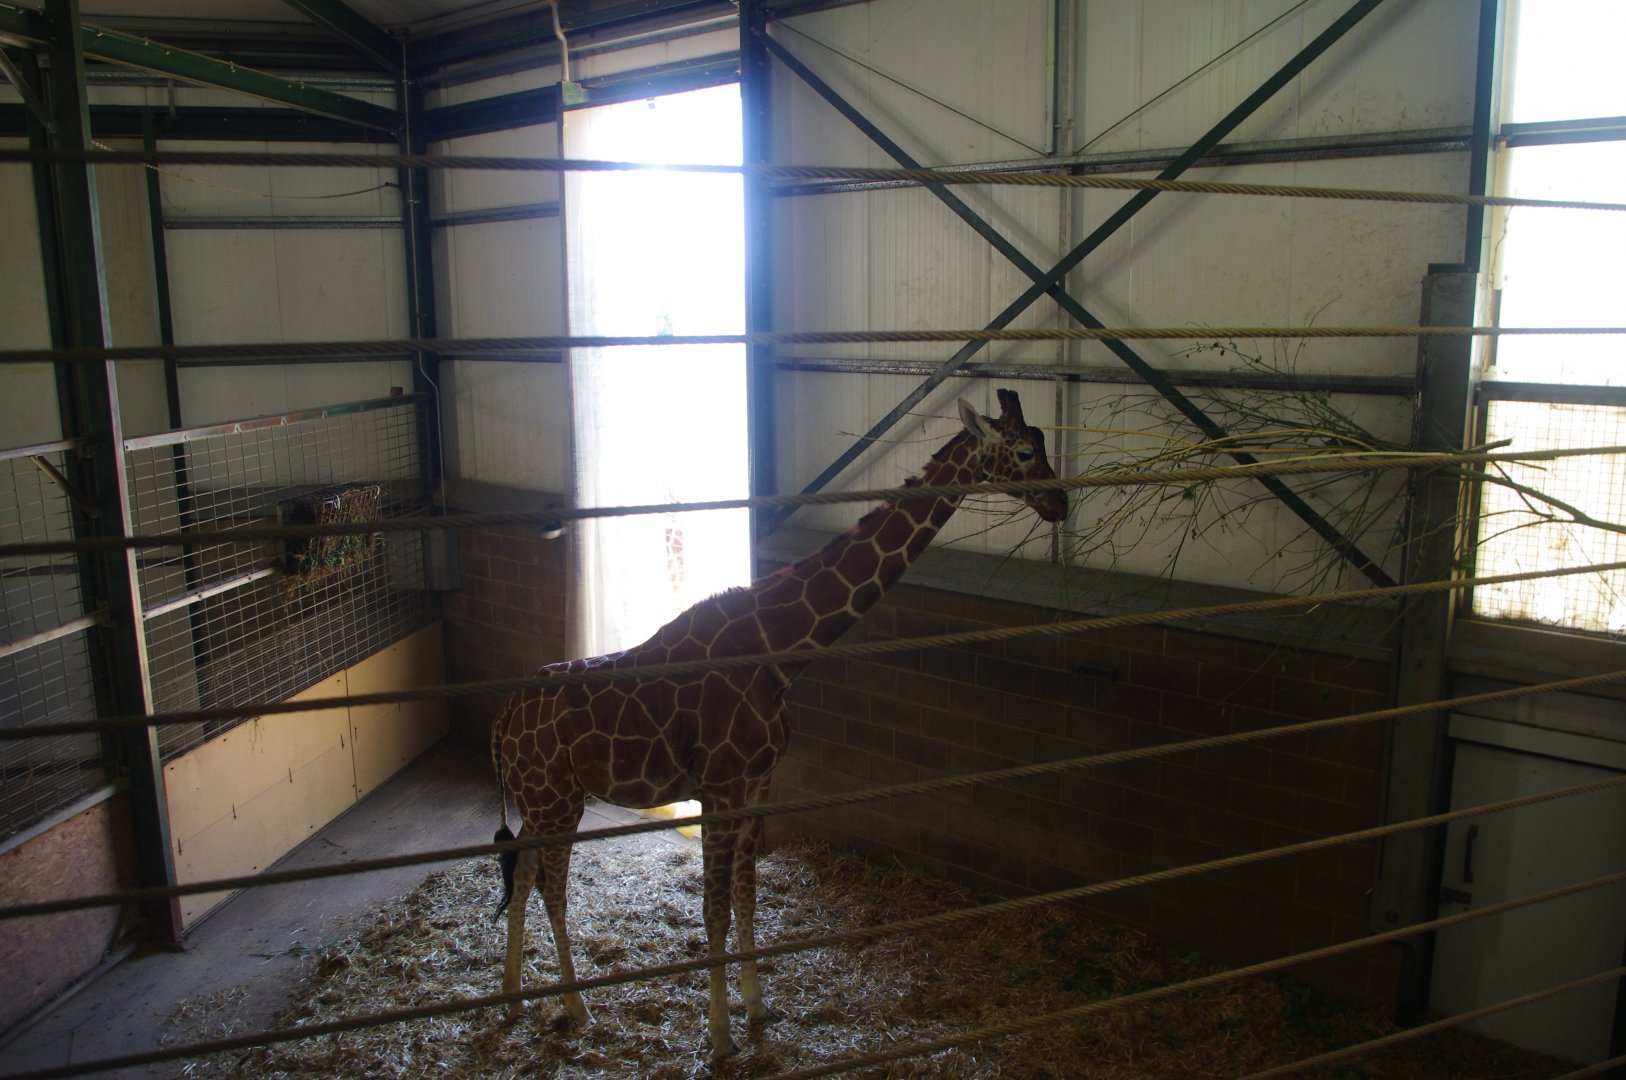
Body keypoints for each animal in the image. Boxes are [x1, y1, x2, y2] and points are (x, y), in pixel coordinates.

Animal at [490, 388, 1068, 1056]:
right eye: (1023, 451)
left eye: (1045, 443)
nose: (1061, 502)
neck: (780, 651)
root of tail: (504, 712)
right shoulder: (718, 787)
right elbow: (714, 906)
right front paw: (720, 1037)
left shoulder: (759, 783)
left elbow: (746, 894)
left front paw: (758, 1009)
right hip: (555, 799)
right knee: (551, 884)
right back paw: (576, 1007)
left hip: (546, 800)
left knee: (524, 872)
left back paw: (513, 997)